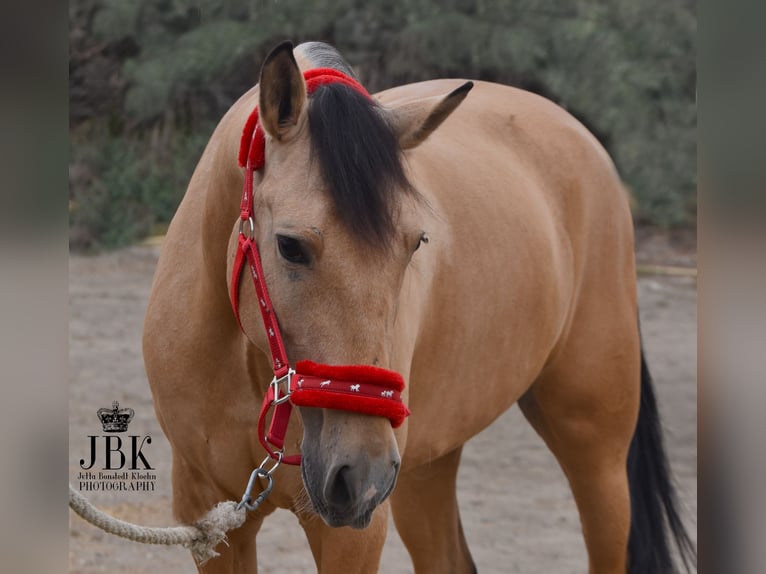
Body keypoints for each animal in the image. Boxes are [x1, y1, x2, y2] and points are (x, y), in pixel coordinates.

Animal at [142, 41, 696, 574]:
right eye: (290, 246)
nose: (360, 474)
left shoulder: (350, 534)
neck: (246, 364)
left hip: (595, 451)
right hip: (426, 466)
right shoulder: (212, 519)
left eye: (416, 243)